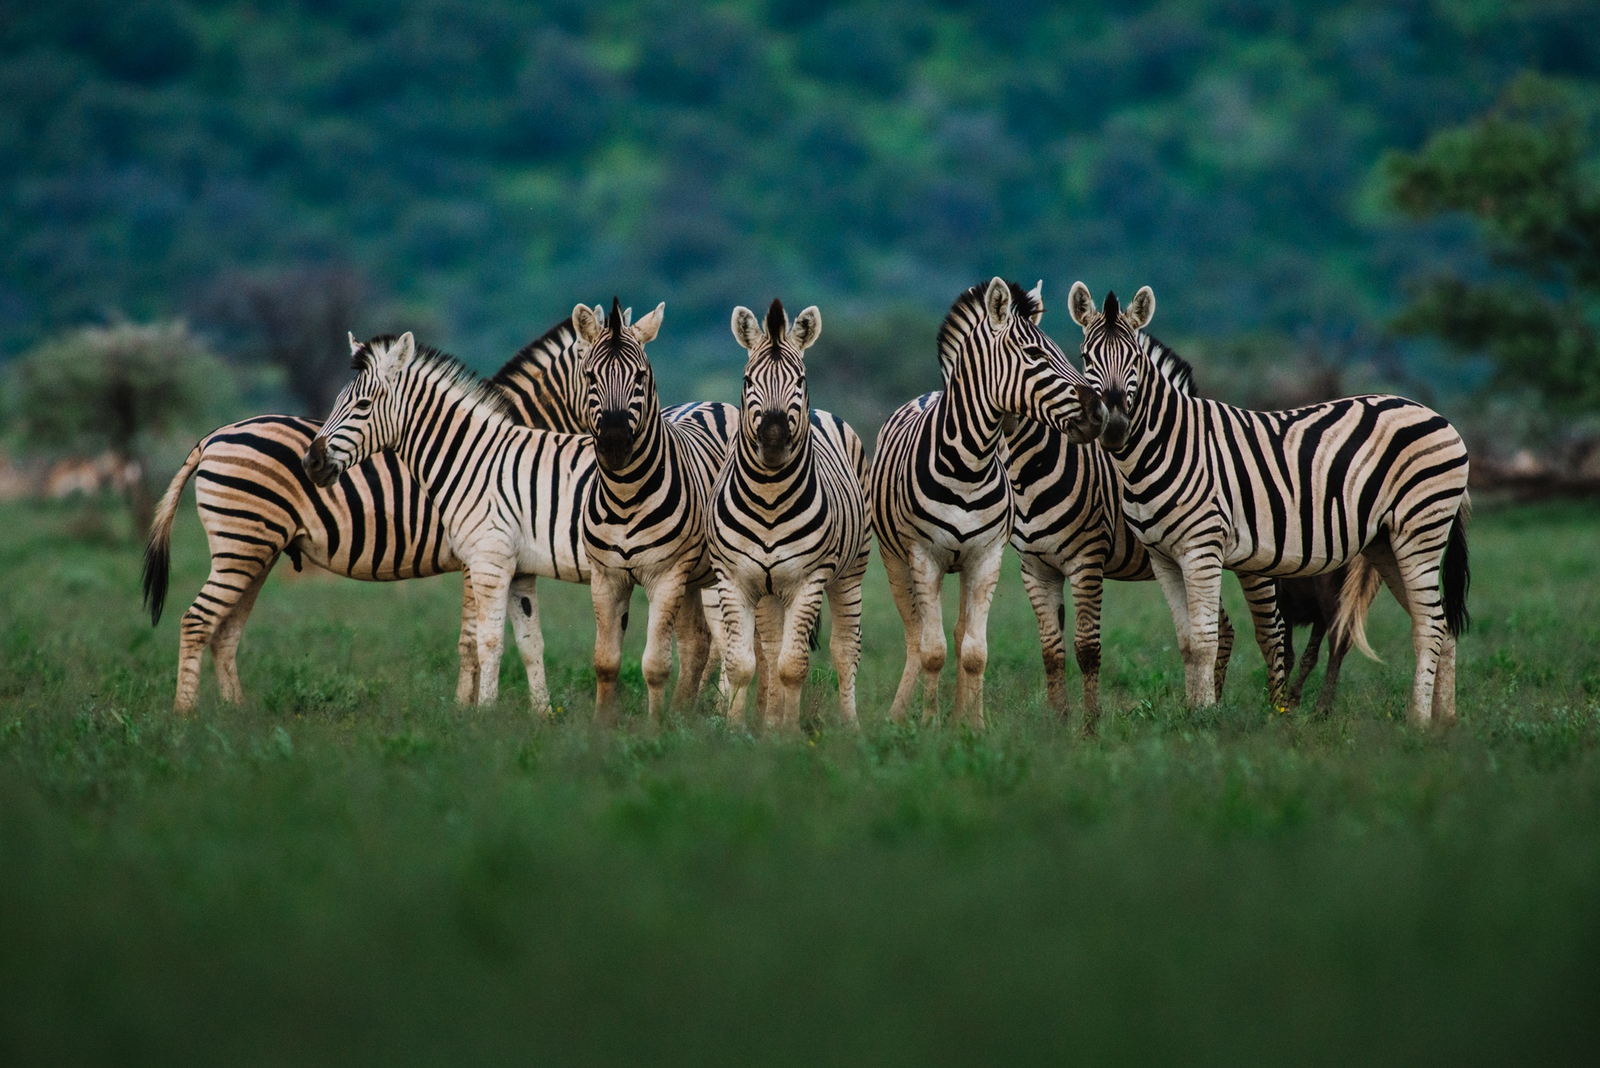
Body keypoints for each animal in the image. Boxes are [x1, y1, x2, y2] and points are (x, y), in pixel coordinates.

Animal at [572, 298, 738, 725]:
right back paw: (682, 713)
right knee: (698, 641)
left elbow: (655, 663)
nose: (615, 442)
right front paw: (602, 727)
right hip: (695, 578)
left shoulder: (666, 576)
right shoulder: (606, 577)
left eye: (641, 376)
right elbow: (605, 660)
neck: (624, 496)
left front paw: (654, 728)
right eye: (590, 375)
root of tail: (713, 402)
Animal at [710, 300, 870, 730]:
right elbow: (744, 663)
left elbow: (793, 665)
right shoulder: (734, 578)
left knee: (845, 647)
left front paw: (788, 734)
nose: (774, 433)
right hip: (768, 589)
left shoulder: (809, 580)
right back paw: (769, 721)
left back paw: (850, 724)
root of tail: (824, 413)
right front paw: (737, 730)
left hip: (851, 571)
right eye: (748, 379)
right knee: (770, 646)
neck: (769, 496)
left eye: (799, 380)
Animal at [869, 278, 1106, 728]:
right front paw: (929, 724)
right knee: (915, 636)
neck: (970, 463)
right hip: (894, 560)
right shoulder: (924, 556)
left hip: (963, 564)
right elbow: (933, 650)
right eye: (1034, 354)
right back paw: (897, 713)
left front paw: (973, 725)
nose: (1098, 413)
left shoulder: (986, 556)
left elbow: (975, 651)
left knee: (961, 633)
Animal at [1067, 282, 1470, 727]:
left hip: (1420, 531)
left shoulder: (1202, 548)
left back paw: (1417, 722)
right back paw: (1445, 722)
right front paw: (1190, 713)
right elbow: (1187, 642)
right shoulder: (1163, 557)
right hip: (1386, 543)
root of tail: (1435, 414)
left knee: (1429, 626)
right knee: (1441, 625)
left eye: (1135, 360)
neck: (1169, 444)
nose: (1115, 427)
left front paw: (1205, 715)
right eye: (1086, 358)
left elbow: (1205, 640)